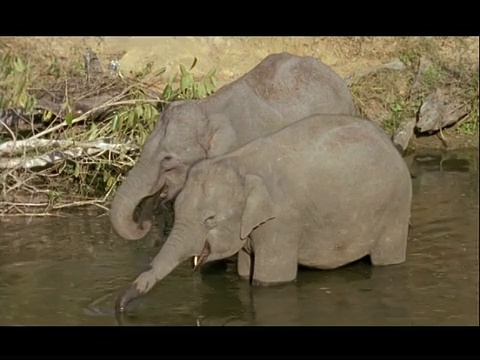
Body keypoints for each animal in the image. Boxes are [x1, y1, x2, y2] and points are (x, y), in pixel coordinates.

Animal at [115, 113, 412, 312]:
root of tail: (390, 143)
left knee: (386, 259)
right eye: (177, 210)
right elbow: (244, 272)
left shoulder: (282, 223)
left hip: (396, 208)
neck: (239, 162)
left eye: (210, 219)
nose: (119, 307)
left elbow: (269, 282)